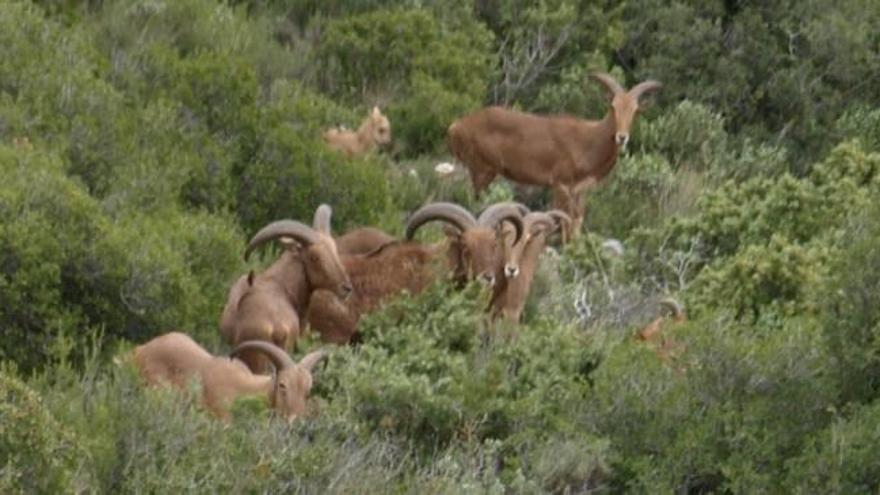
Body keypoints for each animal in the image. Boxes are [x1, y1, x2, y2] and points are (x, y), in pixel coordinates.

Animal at [446, 72, 660, 240]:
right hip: (483, 171)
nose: (621, 137)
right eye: (613, 106)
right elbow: (563, 220)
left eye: (635, 110)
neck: (589, 140)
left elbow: (576, 220)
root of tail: (456, 126)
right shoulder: (561, 184)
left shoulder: (580, 190)